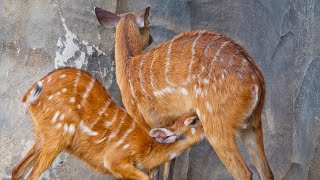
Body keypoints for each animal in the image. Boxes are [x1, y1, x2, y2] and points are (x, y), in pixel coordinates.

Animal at [12, 68, 204, 180]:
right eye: (194, 120)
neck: (146, 150)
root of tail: (32, 92)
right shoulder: (113, 160)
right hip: (57, 135)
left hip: (41, 135)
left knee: (16, 170)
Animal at [94, 4, 272, 179]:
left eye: (148, 22)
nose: (151, 38)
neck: (128, 67)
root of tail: (256, 79)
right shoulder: (170, 124)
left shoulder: (143, 121)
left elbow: (154, 167)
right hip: (253, 124)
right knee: (266, 171)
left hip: (217, 125)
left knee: (244, 172)